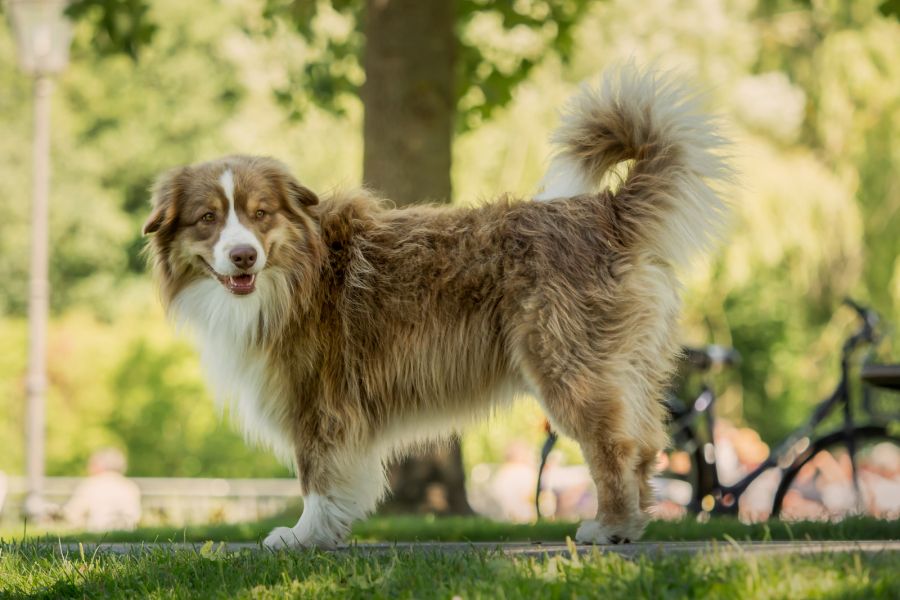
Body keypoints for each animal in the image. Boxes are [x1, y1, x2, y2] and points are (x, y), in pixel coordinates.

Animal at [141, 64, 732, 548]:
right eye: (207, 219)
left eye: (260, 214)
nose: (243, 255)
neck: (298, 270)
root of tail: (605, 210)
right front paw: (326, 534)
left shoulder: (317, 397)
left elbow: (316, 475)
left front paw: (305, 535)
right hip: (625, 367)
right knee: (647, 443)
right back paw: (632, 523)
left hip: (570, 367)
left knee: (615, 446)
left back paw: (609, 526)